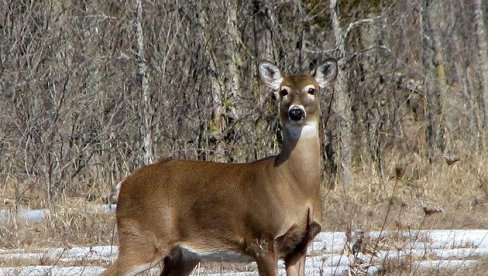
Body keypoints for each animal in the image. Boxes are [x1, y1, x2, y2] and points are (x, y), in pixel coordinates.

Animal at [102, 59, 340, 274]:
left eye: (312, 90)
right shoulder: (262, 239)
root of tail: (124, 184)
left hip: (182, 255)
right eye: (283, 91)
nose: (295, 112)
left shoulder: (300, 247)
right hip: (141, 237)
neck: (295, 186)